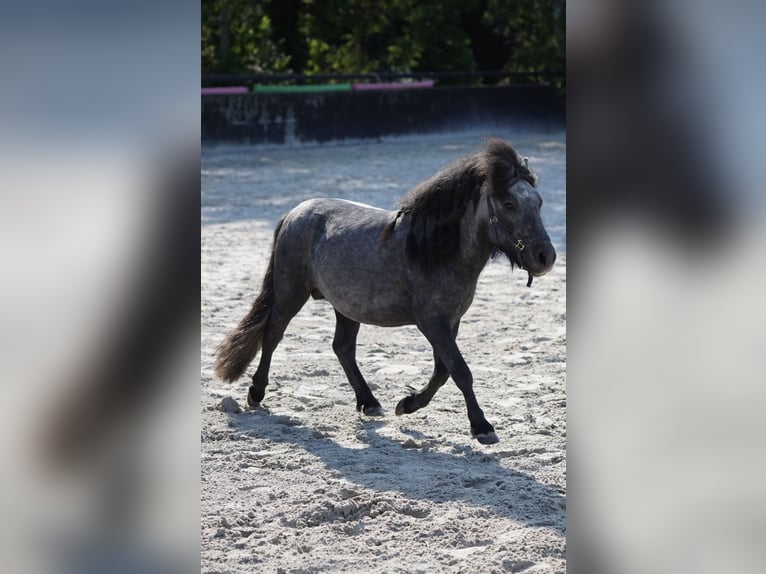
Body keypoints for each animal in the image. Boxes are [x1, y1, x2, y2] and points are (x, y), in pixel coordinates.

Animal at [216, 140, 560, 446]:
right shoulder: (432, 323)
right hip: (290, 292)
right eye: (509, 204)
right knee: (273, 334)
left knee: (342, 348)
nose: (546, 257)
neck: (435, 250)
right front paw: (482, 427)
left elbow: (442, 371)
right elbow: (460, 371)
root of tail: (294, 213)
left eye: (539, 203)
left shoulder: (450, 322)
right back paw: (256, 393)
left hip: (345, 307)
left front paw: (407, 405)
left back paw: (369, 402)